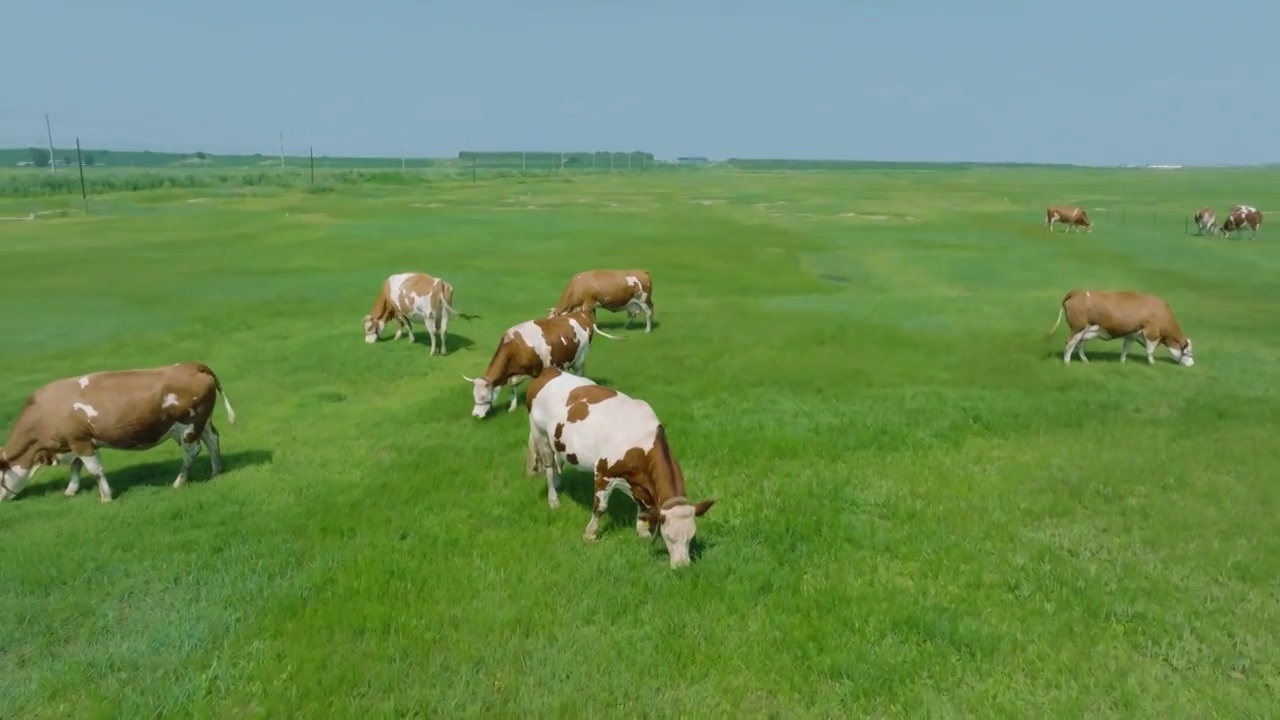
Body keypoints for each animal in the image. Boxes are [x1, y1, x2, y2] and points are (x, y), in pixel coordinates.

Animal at [0, 361, 238, 502]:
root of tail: (191, 365)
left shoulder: (81, 441)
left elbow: (95, 470)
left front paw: (106, 496)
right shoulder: (74, 441)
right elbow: (76, 467)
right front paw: (71, 490)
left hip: (188, 424)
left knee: (192, 452)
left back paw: (179, 482)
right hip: (202, 422)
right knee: (212, 440)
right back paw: (216, 470)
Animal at [463, 310, 622, 420]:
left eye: (483, 396)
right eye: (473, 395)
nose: (475, 415)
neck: (516, 347)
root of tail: (580, 315)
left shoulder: (542, 369)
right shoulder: (513, 375)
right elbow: (513, 389)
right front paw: (512, 407)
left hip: (580, 357)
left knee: (579, 372)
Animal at [522, 366, 721, 568]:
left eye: (691, 536)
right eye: (669, 537)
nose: (682, 566)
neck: (641, 442)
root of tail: (549, 371)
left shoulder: (637, 481)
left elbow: (644, 507)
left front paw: (642, 532)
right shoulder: (603, 473)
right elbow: (600, 507)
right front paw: (590, 534)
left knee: (558, 462)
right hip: (539, 432)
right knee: (548, 465)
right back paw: (553, 500)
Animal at [1044, 286, 1192, 363]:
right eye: (1189, 352)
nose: (1192, 364)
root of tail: (1077, 292)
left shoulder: (1132, 334)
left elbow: (1126, 348)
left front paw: (1122, 361)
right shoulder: (1152, 333)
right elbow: (1150, 351)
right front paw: (1152, 364)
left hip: (1085, 331)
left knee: (1079, 344)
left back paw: (1084, 360)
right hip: (1077, 328)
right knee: (1070, 344)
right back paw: (1067, 362)